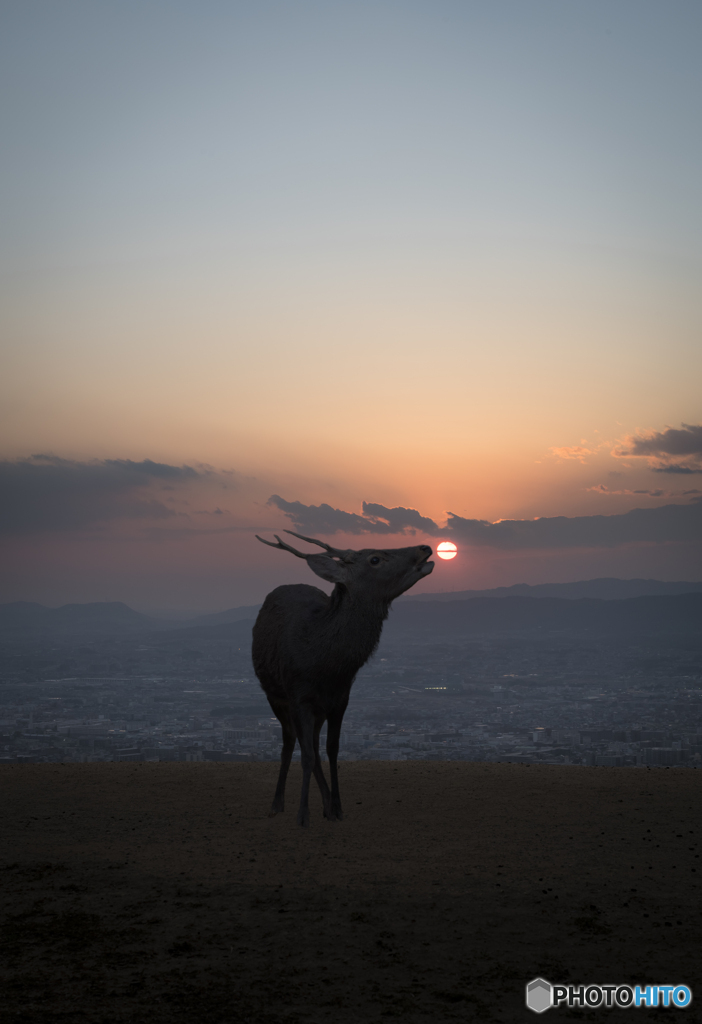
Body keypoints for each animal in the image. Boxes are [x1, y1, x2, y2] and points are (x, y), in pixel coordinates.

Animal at [250, 532, 431, 827]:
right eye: (375, 559)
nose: (425, 547)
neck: (326, 666)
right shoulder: (299, 697)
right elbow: (306, 754)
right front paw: (303, 815)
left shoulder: (341, 699)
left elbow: (332, 750)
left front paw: (337, 808)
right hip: (274, 694)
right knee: (290, 741)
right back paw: (277, 804)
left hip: (317, 709)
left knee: (311, 743)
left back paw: (324, 804)